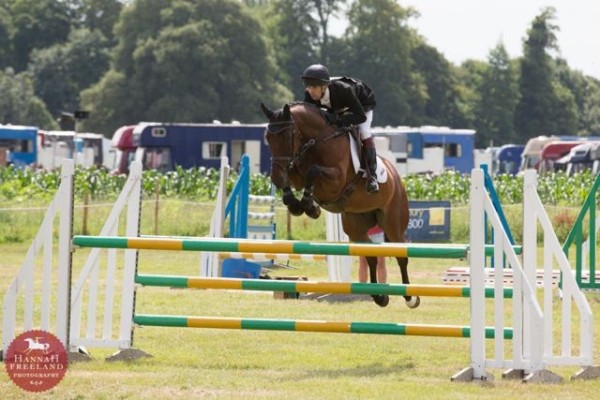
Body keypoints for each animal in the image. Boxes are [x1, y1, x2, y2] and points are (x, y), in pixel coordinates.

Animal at [260, 101, 419, 308]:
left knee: (401, 255)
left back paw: (410, 297)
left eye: (288, 136)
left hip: (393, 224)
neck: (316, 140)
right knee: (371, 256)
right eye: (268, 138)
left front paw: (309, 206)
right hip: (355, 226)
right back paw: (379, 296)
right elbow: (293, 176)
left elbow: (313, 171)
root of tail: (397, 177)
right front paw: (296, 204)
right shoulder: (297, 172)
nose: (275, 178)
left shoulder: (335, 181)